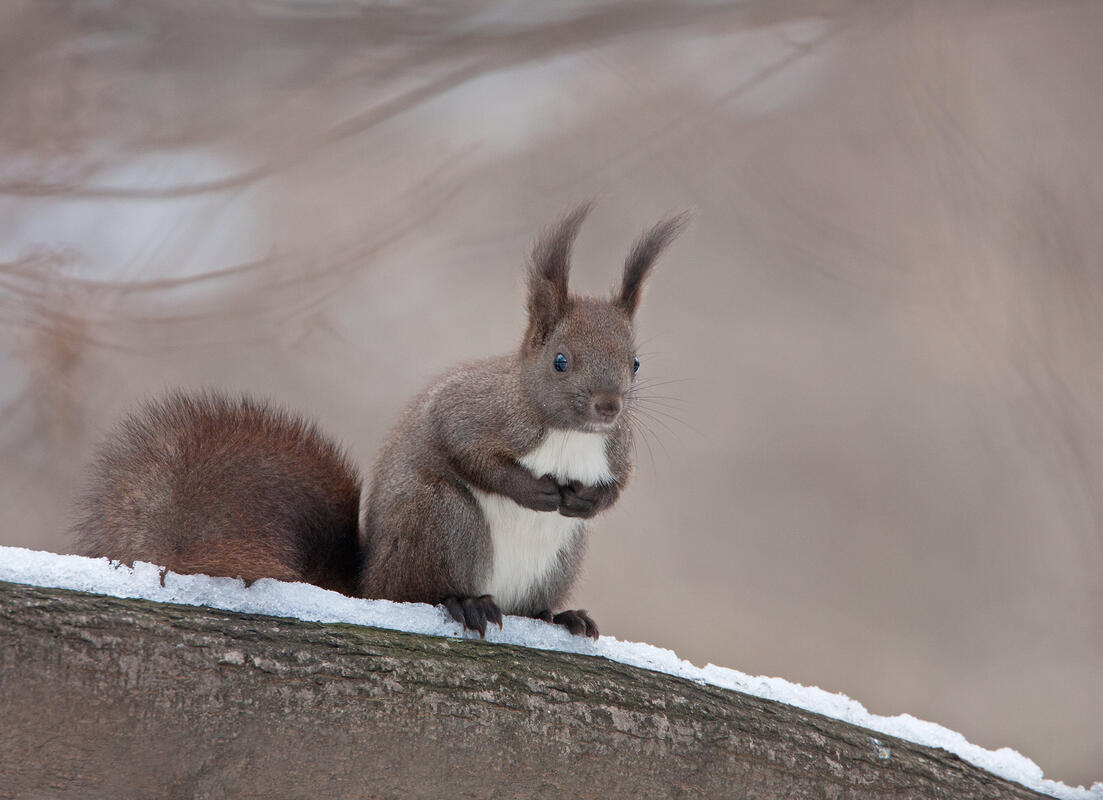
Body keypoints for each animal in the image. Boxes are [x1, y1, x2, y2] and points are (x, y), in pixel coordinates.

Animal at [73, 204, 687, 639]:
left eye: (634, 363)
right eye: (560, 361)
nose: (609, 406)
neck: (567, 434)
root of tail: (369, 585)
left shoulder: (616, 449)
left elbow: (619, 483)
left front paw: (590, 500)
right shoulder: (473, 414)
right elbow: (468, 453)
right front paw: (532, 490)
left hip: (560, 556)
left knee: (531, 605)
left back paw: (559, 617)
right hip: (440, 519)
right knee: (423, 589)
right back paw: (464, 601)